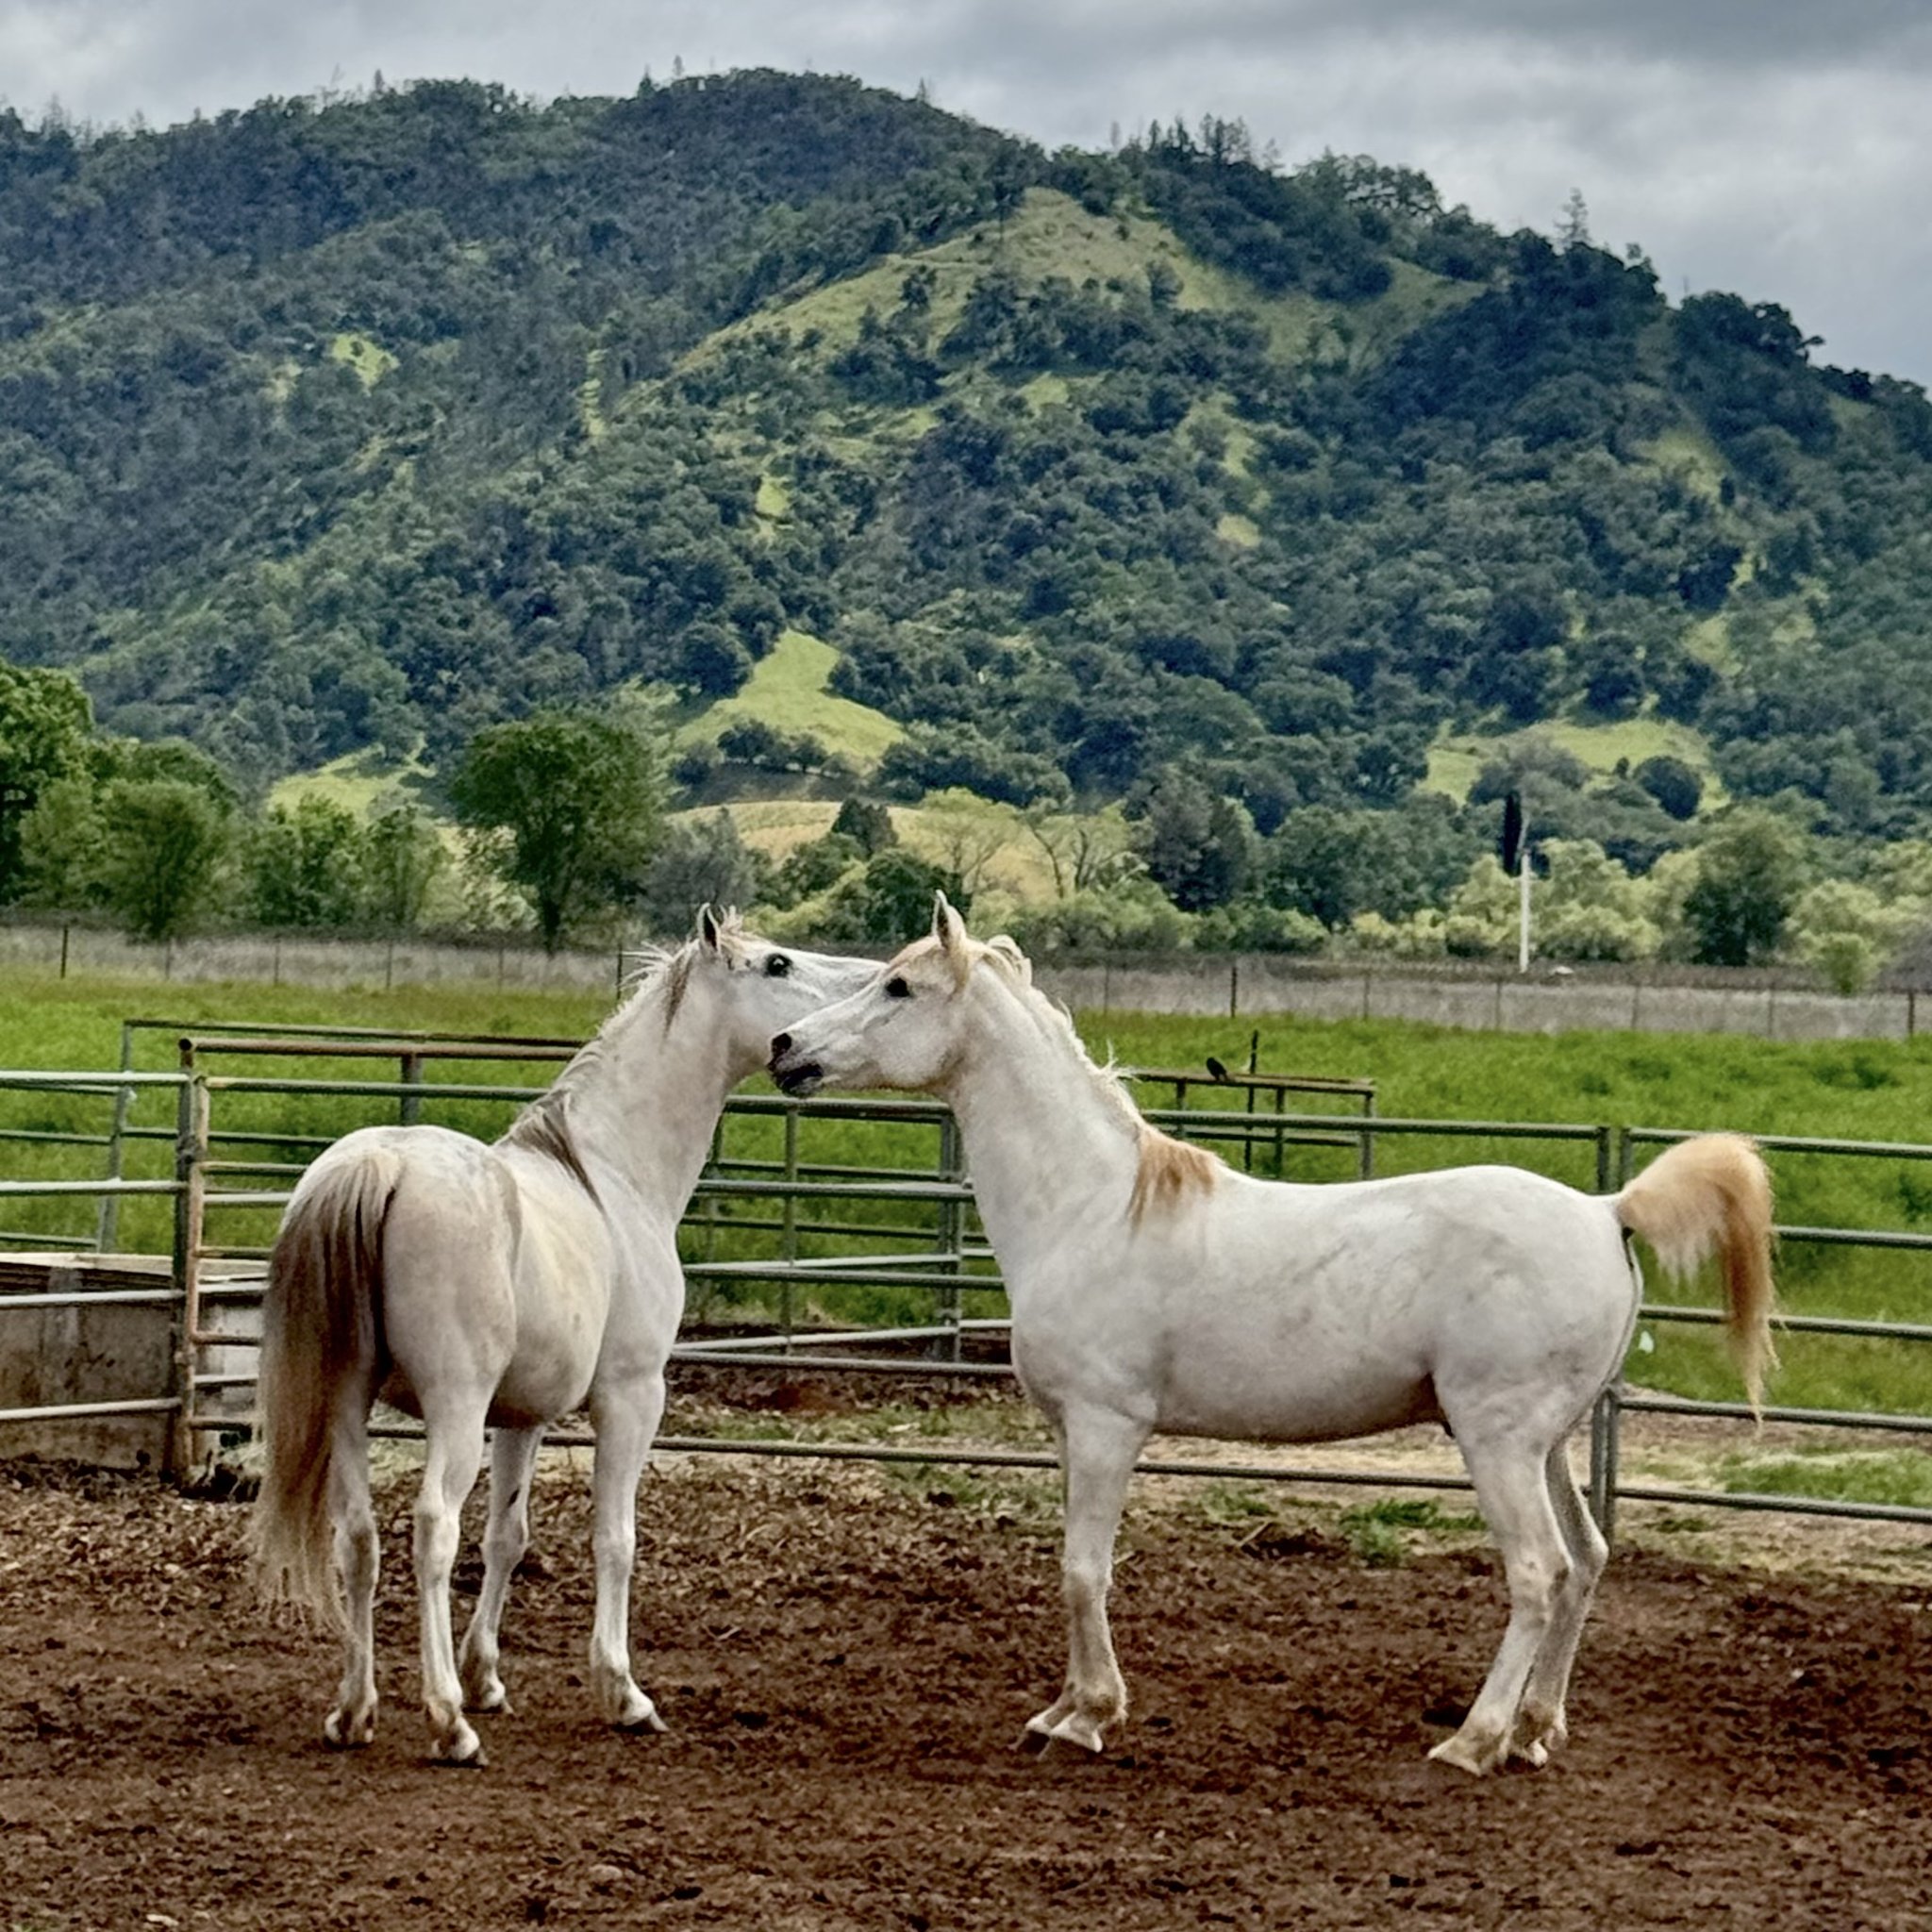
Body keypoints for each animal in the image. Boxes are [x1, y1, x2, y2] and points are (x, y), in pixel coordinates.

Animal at [251, 909, 875, 1764]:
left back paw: (355, 1713)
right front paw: (623, 1693)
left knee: (359, 1538)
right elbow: (614, 1537)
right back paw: (449, 1724)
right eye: (776, 965)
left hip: (347, 1402)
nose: (804, 1044)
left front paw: (488, 1677)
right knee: (432, 1530)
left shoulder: (522, 1418)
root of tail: (382, 1165)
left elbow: (507, 1537)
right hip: (452, 1406)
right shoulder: (631, 1399)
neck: (611, 1173)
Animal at [769, 895, 1777, 1776]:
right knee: (1589, 1562)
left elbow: (1084, 1572)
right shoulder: (1067, 1434)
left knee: (1540, 1572)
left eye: (900, 987)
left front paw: (1088, 1718)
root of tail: (1610, 1211)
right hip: (1550, 1444)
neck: (1092, 1209)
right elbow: (1073, 1569)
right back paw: (1533, 1732)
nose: (786, 1049)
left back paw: (1474, 1742)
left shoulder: (1106, 1428)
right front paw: (1060, 1710)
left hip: (1499, 1441)